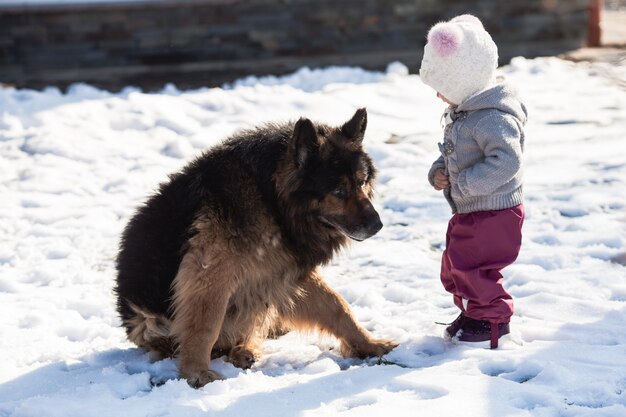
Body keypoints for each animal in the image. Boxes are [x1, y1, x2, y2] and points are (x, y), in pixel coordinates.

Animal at [115, 108, 398, 386]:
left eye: (362, 182)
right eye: (338, 191)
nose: (377, 225)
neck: (270, 199)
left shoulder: (283, 268)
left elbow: (337, 306)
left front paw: (368, 344)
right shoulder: (208, 272)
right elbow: (206, 324)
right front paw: (196, 373)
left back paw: (245, 349)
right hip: (151, 321)